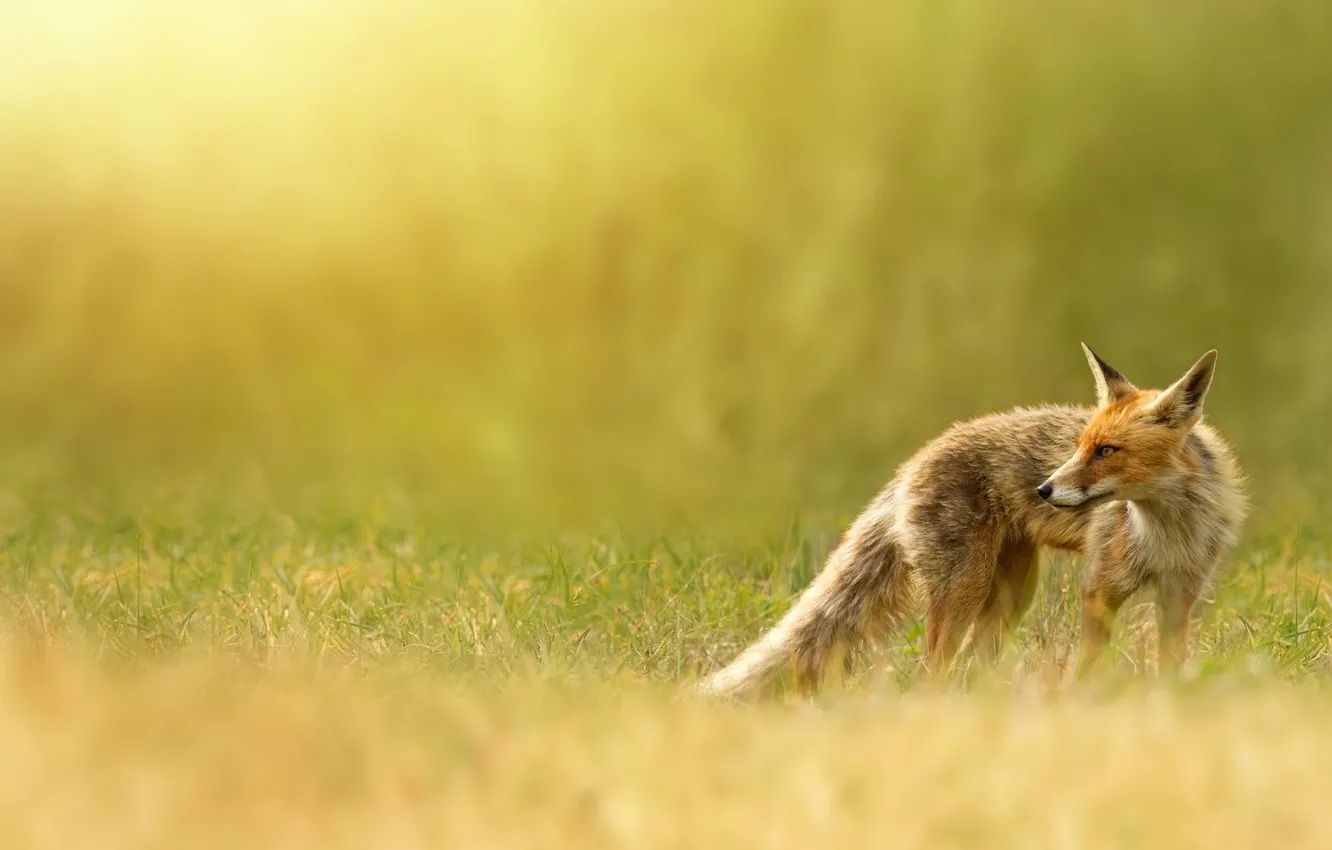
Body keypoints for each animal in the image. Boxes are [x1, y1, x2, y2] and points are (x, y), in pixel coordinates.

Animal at [702, 344, 1247, 697]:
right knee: (932, 674)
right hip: (965, 589)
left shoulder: (1180, 595)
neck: (1168, 531)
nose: (1044, 490)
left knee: (968, 666)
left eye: (1107, 451)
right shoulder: (1100, 589)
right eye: (1079, 447)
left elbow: (1171, 667)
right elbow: (1087, 668)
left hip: (1008, 597)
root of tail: (913, 461)